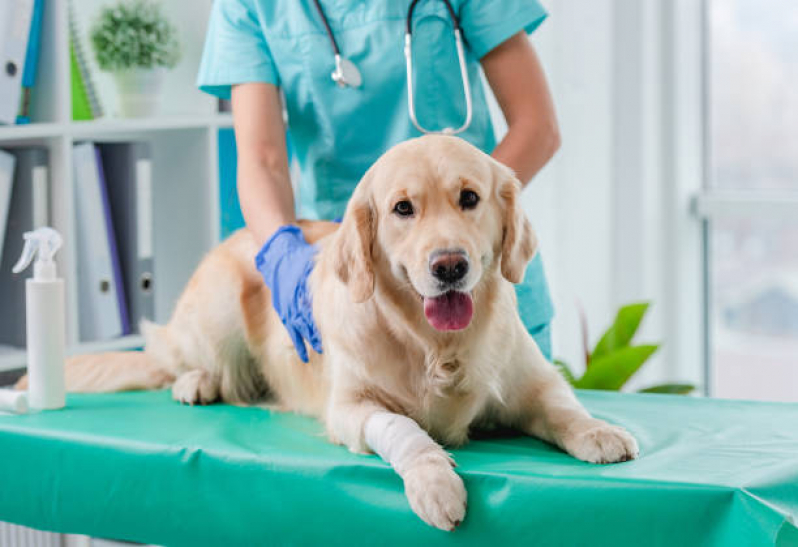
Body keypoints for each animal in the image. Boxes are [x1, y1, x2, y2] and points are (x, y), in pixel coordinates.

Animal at [18, 136, 640, 532]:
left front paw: (600, 431)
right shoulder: (351, 408)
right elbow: (404, 430)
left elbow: (563, 406)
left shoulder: (533, 381)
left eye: (470, 198)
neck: (434, 348)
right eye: (403, 209)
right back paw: (196, 382)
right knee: (176, 357)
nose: (449, 266)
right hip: (216, 305)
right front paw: (434, 481)